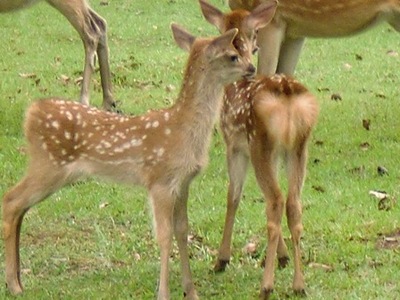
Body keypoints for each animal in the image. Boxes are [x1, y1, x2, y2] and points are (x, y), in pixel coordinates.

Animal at [0, 22, 256, 298]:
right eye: (233, 55)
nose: (252, 68)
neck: (183, 129)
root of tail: (31, 113)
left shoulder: (183, 182)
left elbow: (182, 230)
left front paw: (191, 291)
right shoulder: (159, 180)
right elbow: (163, 235)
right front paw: (164, 293)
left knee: (20, 206)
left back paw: (17, 280)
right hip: (48, 164)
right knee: (11, 200)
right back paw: (14, 284)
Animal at [200, 1, 318, 298]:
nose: (254, 50)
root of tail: (287, 95)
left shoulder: (234, 145)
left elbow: (233, 196)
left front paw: (221, 259)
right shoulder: (275, 154)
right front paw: (283, 257)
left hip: (260, 144)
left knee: (275, 201)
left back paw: (266, 285)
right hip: (298, 148)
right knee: (293, 203)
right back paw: (299, 284)